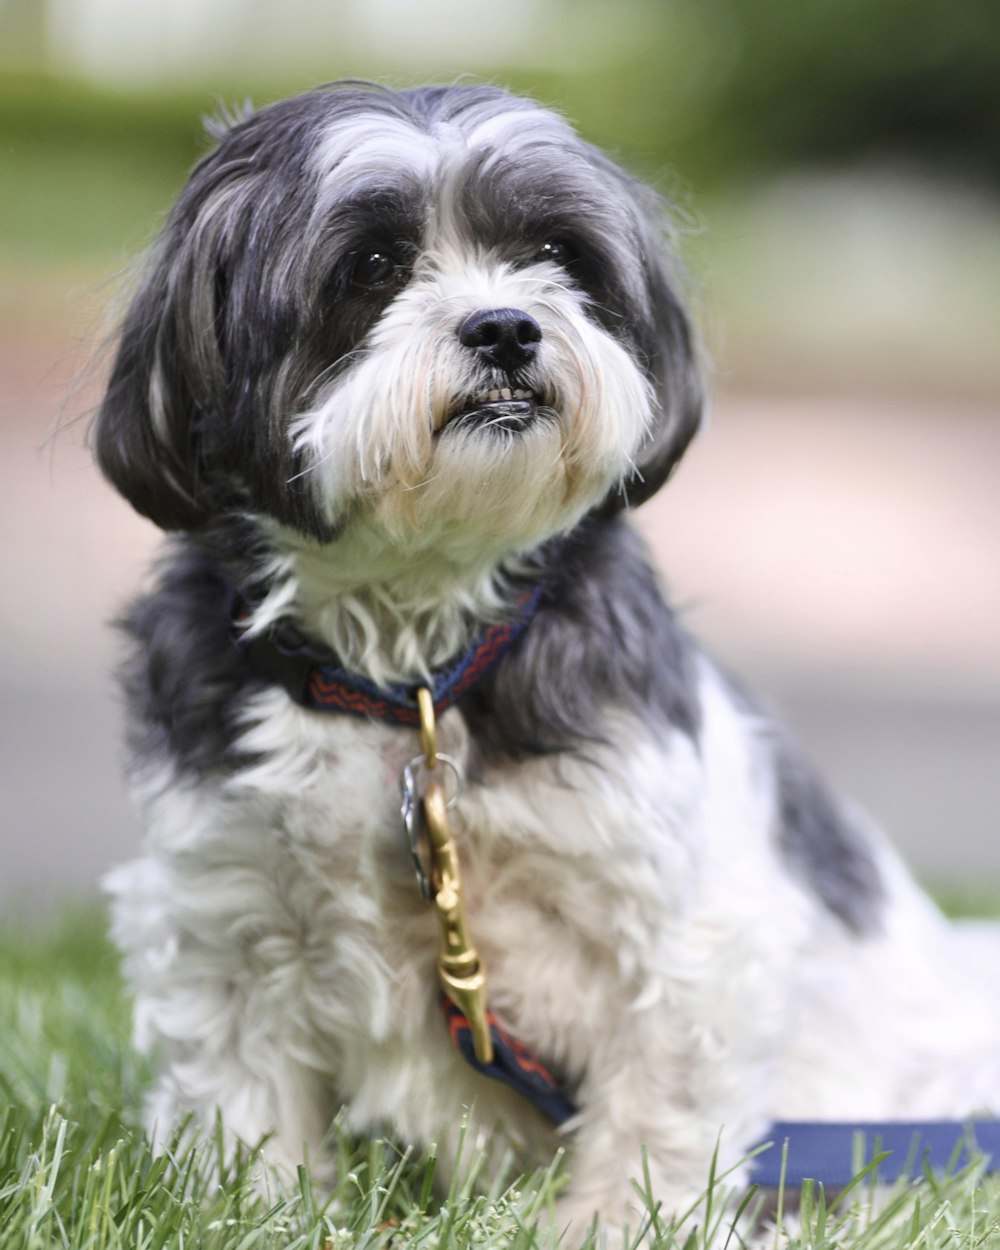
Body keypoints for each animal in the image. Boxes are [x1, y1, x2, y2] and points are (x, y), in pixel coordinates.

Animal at [93, 83, 1000, 1235]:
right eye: (372, 266)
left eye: (554, 254)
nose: (505, 325)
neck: (416, 677)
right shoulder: (227, 922)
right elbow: (240, 1110)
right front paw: (261, 1216)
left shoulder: (686, 932)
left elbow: (660, 1109)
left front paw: (617, 1224)